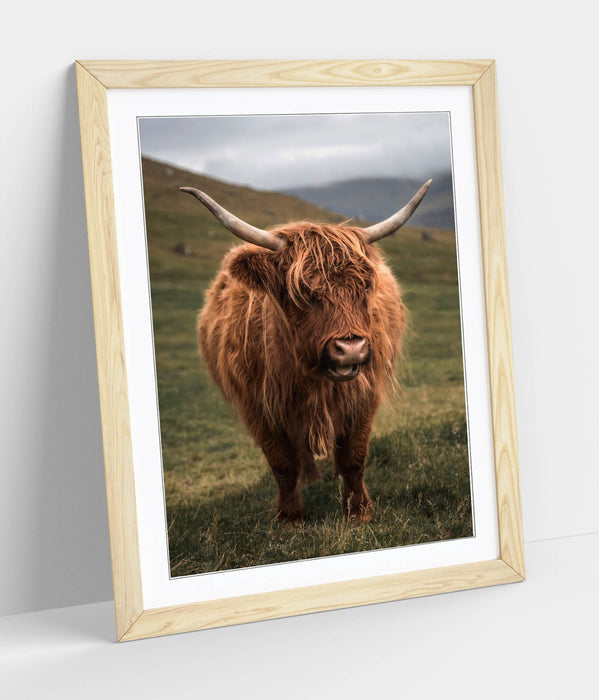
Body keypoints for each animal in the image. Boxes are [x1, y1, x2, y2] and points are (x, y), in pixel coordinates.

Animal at [180, 180, 431, 524]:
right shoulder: (258, 406)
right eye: (302, 291)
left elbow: (354, 457)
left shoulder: (364, 394)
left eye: (366, 286)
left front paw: (359, 512)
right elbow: (282, 464)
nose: (350, 349)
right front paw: (290, 517)